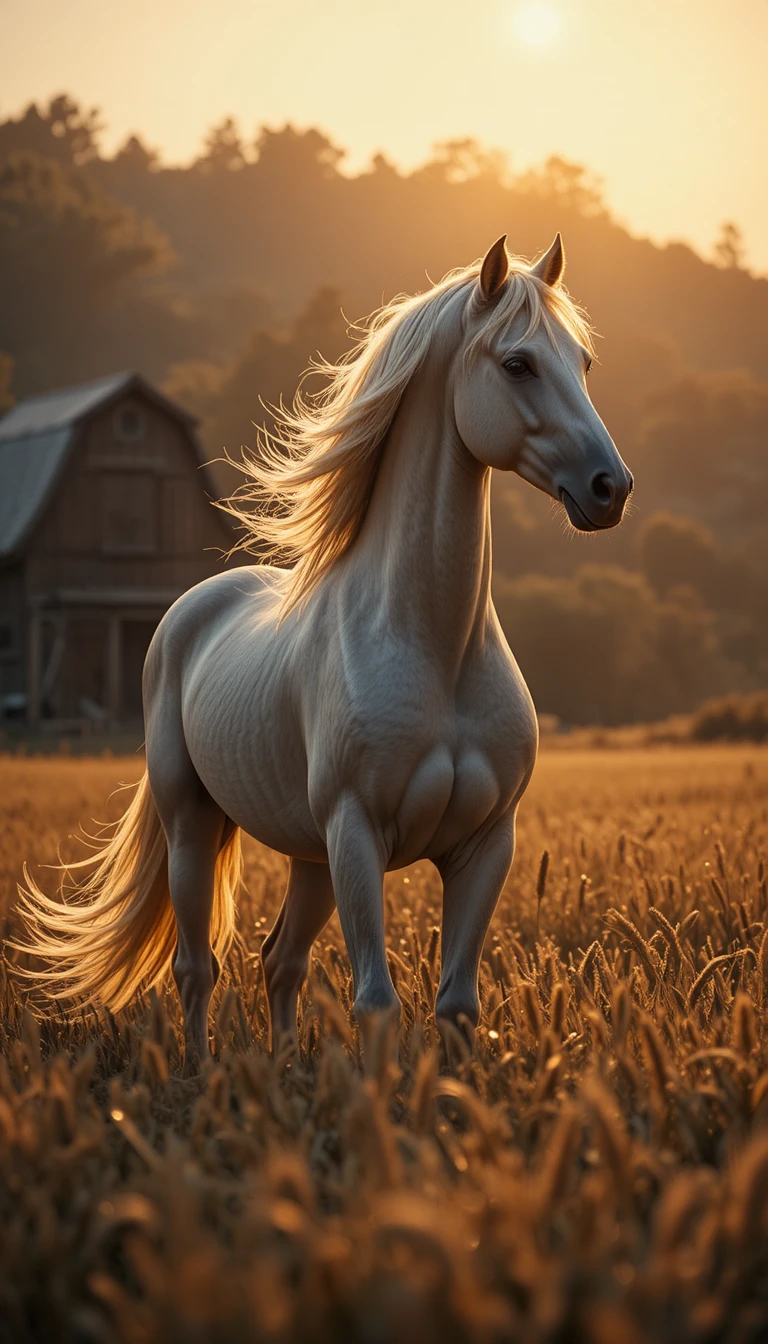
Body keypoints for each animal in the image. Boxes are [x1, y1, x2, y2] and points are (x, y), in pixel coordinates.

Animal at [16, 234, 633, 1070]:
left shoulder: (484, 846)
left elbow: (456, 1005)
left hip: (307, 854)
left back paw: (279, 1069)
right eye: (518, 364)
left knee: (280, 962)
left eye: (584, 361)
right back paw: (200, 1073)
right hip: (194, 826)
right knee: (196, 966)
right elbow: (375, 1002)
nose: (610, 488)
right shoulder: (357, 833)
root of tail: (188, 614)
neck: (435, 647)